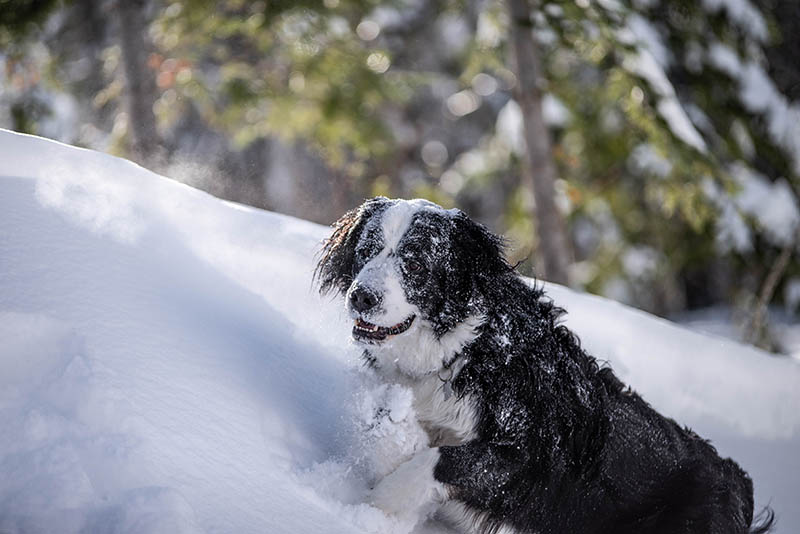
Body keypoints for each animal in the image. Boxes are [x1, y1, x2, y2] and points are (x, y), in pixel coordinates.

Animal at [314, 198, 776, 534]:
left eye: (413, 263)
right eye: (365, 253)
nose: (361, 296)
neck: (462, 349)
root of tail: (740, 483)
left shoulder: (529, 456)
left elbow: (441, 460)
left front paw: (377, 508)